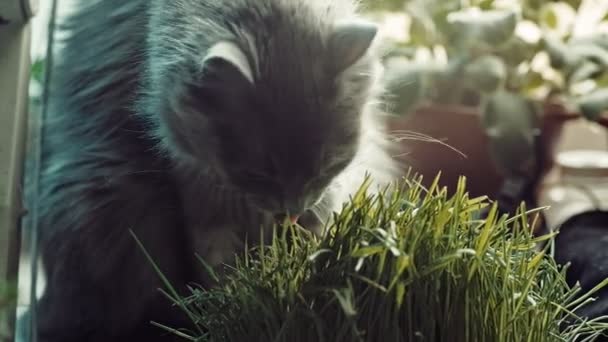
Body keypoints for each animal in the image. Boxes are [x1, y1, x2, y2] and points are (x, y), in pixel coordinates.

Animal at [21, 0, 400, 342]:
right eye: (256, 175)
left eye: (329, 166)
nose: (291, 210)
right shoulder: (201, 195)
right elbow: (219, 271)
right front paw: (233, 306)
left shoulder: (324, 201)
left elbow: (309, 244)